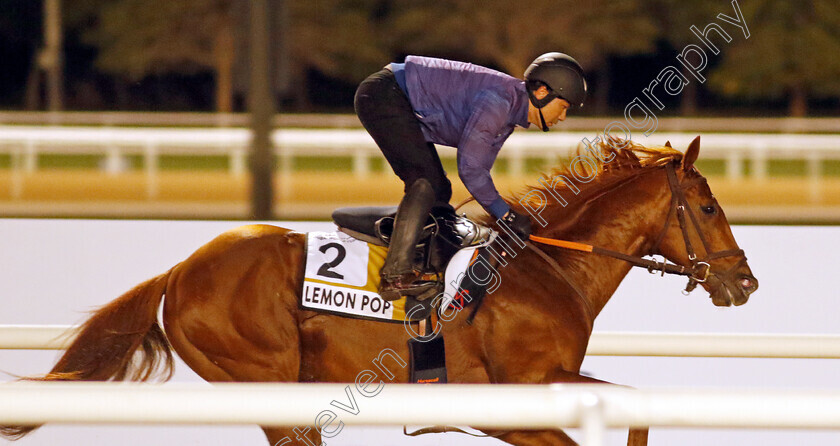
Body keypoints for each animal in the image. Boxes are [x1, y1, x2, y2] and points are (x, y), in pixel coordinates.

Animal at [3, 138, 756, 444]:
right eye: (709, 206)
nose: (745, 280)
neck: (548, 267)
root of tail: (181, 270)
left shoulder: (549, 386)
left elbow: (635, 408)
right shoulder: (509, 403)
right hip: (267, 381)